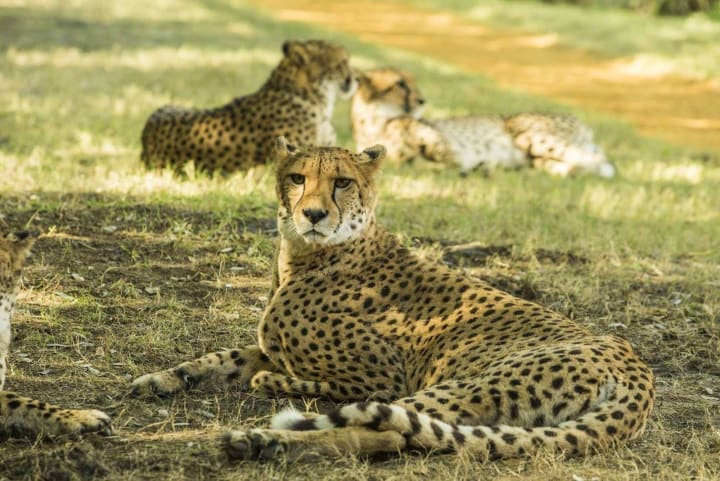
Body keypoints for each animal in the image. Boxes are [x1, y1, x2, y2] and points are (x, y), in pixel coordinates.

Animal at [131, 137, 653, 462]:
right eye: (298, 178)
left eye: (342, 182)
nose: (313, 214)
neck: (306, 253)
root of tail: (636, 367)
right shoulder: (267, 345)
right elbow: (223, 355)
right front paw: (163, 378)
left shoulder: (385, 373)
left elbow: (320, 384)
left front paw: (280, 384)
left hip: (464, 383)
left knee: (387, 430)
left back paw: (262, 439)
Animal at [352, 68, 617, 178]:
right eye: (400, 84)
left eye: (412, 82)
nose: (421, 100)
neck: (375, 119)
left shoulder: (437, 139)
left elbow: (443, 152)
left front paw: (468, 165)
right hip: (539, 158)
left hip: (527, 134)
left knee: (599, 160)